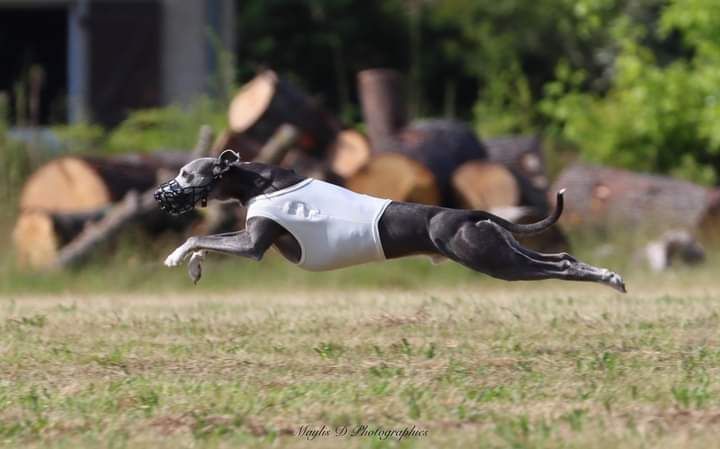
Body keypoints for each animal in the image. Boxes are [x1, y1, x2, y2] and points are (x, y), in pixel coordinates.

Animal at [156, 149, 624, 292]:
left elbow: (200, 238)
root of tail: (470, 212)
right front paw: (194, 268)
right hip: (498, 246)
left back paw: (609, 278)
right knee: (560, 256)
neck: (258, 180)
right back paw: (607, 274)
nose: (162, 193)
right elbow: (206, 242)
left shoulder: (254, 244)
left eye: (186, 173)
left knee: (557, 266)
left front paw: (177, 257)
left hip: (491, 259)